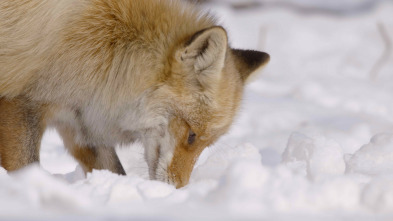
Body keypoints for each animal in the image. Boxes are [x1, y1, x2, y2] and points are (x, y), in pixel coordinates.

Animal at [0, 0, 270, 188]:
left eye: (206, 143)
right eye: (191, 136)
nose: (179, 190)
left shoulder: (80, 120)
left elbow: (114, 171)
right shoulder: (21, 102)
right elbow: (25, 167)